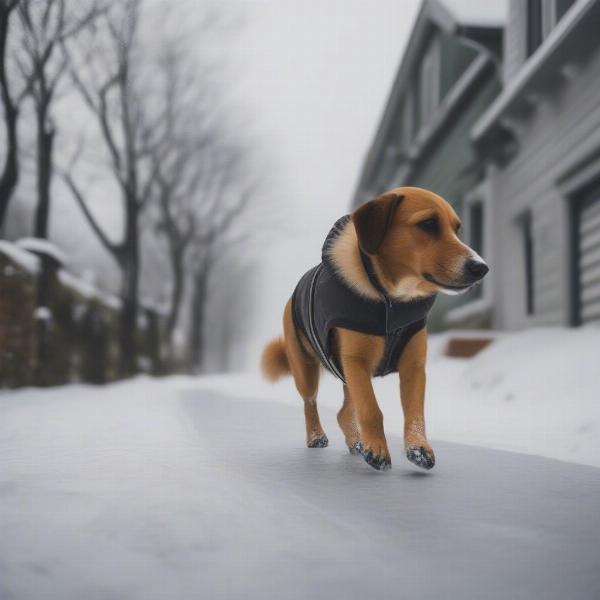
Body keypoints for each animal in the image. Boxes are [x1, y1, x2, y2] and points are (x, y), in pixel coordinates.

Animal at [262, 188, 488, 474]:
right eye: (428, 224)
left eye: (457, 229)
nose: (481, 267)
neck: (392, 299)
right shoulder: (356, 361)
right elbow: (371, 410)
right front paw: (378, 450)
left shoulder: (413, 365)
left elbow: (414, 412)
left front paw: (418, 448)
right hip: (306, 368)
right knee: (310, 402)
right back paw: (316, 436)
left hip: (346, 374)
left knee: (344, 412)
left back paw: (357, 442)